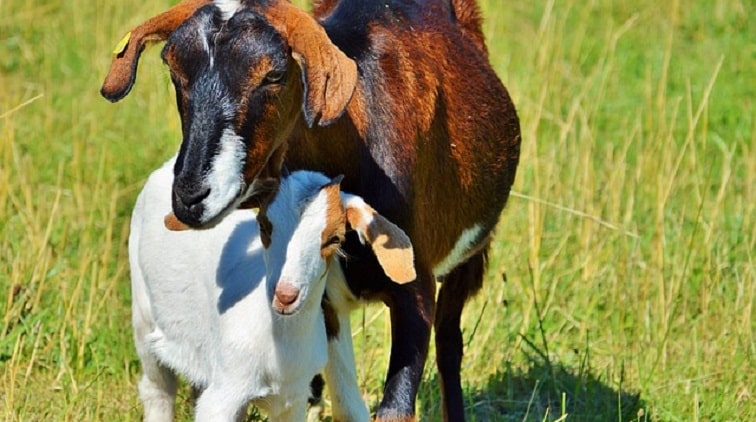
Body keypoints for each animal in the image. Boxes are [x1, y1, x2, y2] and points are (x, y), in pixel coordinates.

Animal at [103, 1, 520, 420]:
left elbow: (395, 405)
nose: (191, 196)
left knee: (450, 344)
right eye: (174, 71)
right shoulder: (323, 302)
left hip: (469, 258)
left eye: (274, 74)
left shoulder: (414, 283)